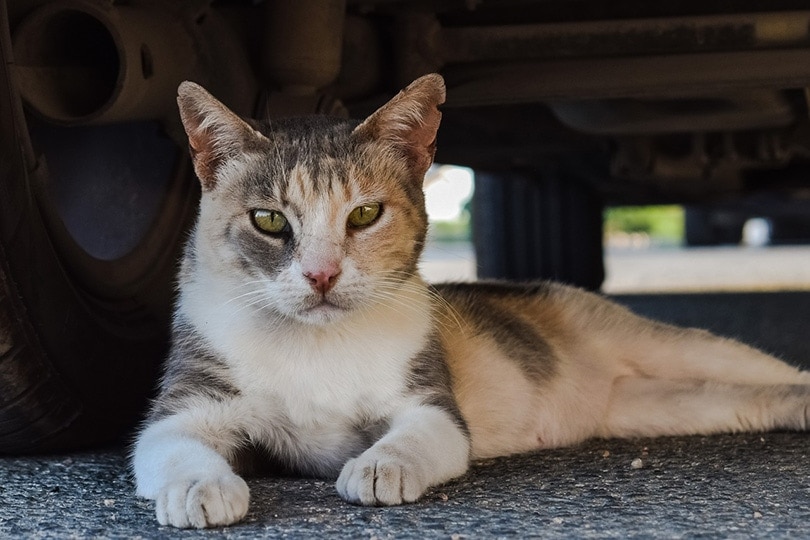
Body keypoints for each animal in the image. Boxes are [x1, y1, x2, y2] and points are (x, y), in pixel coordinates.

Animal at [133, 71, 808, 528]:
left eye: (365, 214)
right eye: (269, 221)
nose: (321, 275)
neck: (317, 346)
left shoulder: (431, 406)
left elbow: (411, 438)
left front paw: (379, 466)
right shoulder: (182, 411)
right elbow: (172, 449)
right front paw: (199, 489)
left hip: (674, 347)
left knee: (765, 366)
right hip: (662, 407)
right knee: (742, 399)